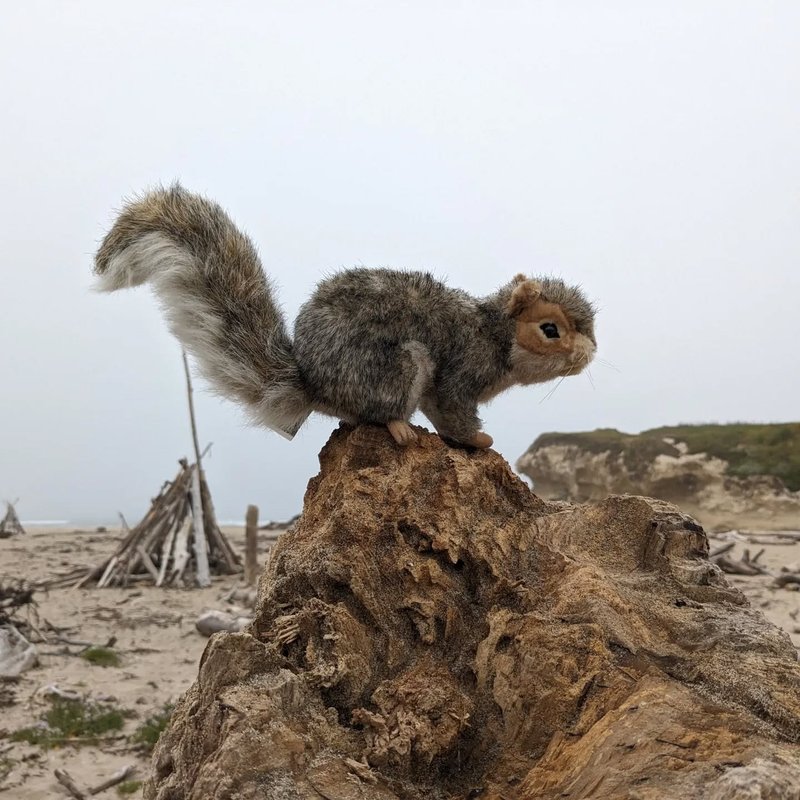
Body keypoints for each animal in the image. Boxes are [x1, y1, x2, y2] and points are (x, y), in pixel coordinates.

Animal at [94, 185, 597, 449]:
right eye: (550, 330)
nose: (590, 353)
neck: (492, 333)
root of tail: (316, 383)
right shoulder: (458, 373)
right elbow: (452, 411)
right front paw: (477, 442)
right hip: (395, 367)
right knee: (376, 411)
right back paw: (398, 427)